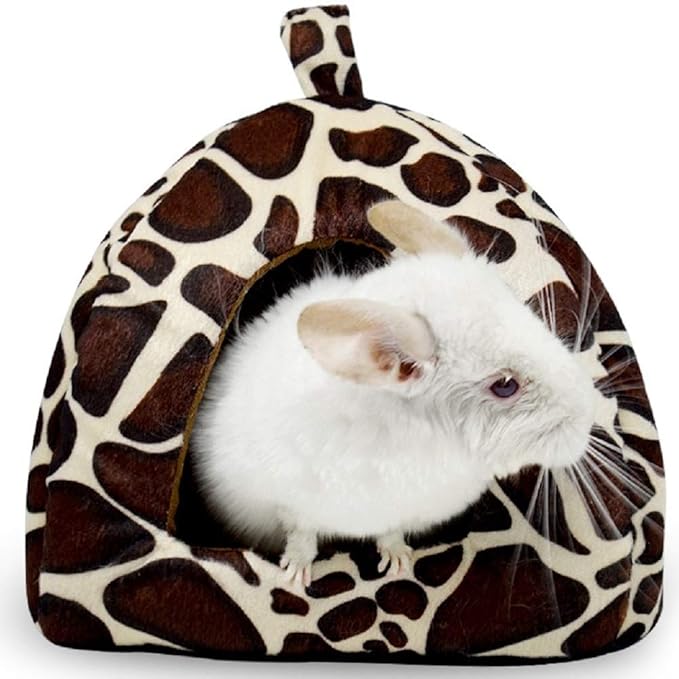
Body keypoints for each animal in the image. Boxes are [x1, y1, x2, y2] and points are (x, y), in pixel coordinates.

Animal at [190, 199, 597, 588]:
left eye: (534, 319)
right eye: (505, 385)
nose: (590, 420)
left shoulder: (404, 513)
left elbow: (390, 533)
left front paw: (399, 562)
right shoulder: (289, 501)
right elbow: (302, 535)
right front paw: (295, 574)